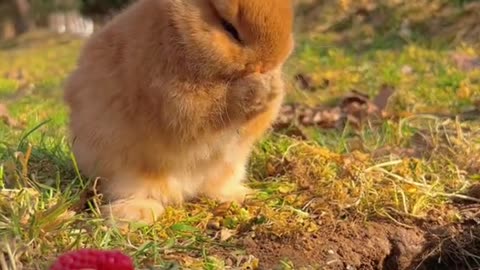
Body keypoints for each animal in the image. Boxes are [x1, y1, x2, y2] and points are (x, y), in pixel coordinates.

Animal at [63, 0, 294, 224]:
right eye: (229, 28)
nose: (271, 62)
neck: (181, 32)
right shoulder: (174, 99)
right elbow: (210, 108)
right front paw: (259, 86)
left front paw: (275, 85)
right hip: (128, 174)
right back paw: (136, 215)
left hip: (230, 167)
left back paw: (240, 195)